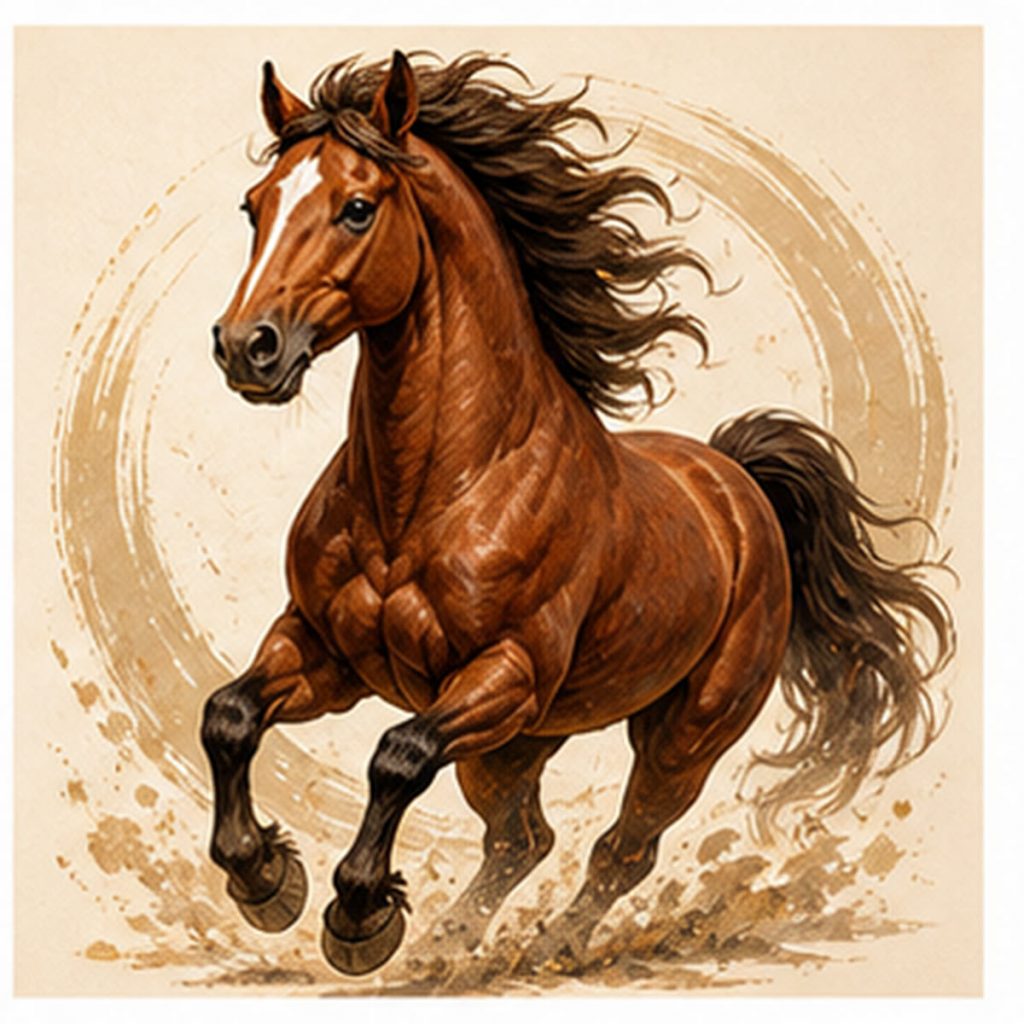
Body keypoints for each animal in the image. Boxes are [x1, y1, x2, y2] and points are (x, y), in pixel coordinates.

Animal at [201, 51, 952, 976]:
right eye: (255, 204)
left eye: (357, 207)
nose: (247, 347)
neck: (427, 495)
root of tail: (737, 482)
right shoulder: (323, 650)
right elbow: (229, 716)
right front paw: (264, 878)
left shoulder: (505, 675)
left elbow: (397, 756)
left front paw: (358, 914)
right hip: (519, 745)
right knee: (522, 839)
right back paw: (448, 948)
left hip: (677, 734)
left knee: (621, 849)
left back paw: (552, 947)